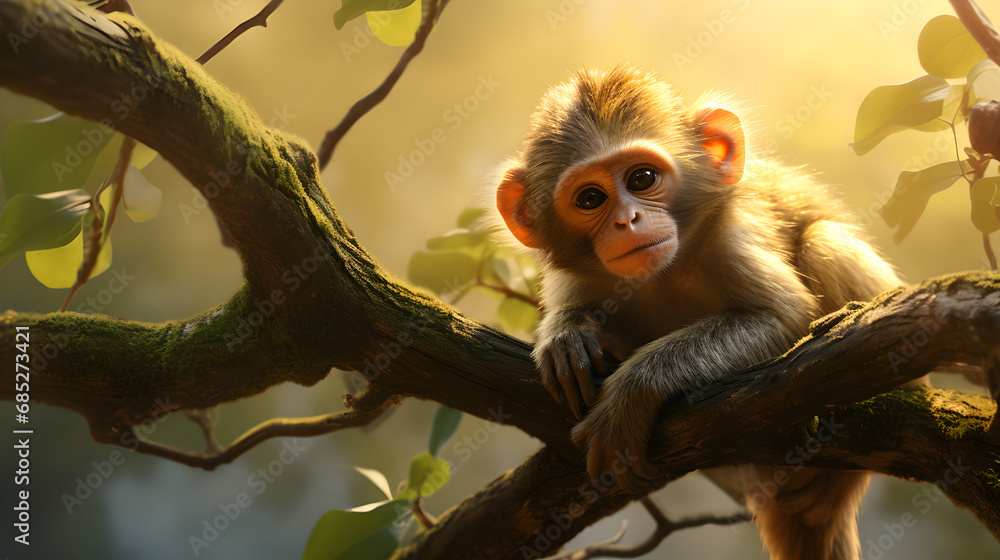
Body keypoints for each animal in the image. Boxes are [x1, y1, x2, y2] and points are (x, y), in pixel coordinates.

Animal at [494, 65, 912, 560]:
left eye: (642, 178)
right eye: (590, 198)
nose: (626, 221)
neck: (663, 276)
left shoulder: (730, 235)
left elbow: (784, 317)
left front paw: (632, 392)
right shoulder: (580, 277)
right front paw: (565, 335)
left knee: (823, 240)